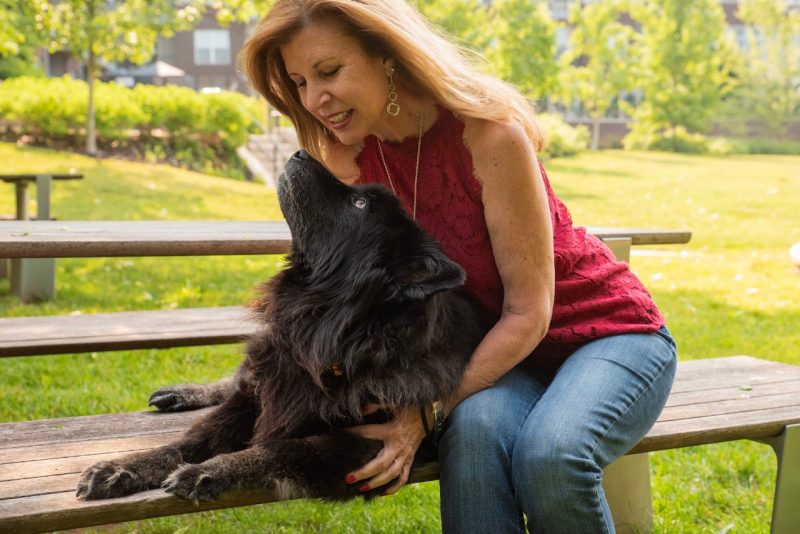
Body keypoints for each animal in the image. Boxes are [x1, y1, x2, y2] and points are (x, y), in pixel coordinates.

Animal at [76, 152, 488, 506]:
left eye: (360, 204)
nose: (302, 152)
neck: (324, 333)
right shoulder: (260, 395)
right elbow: (188, 442)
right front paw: (124, 467)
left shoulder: (360, 448)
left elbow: (273, 449)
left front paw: (210, 471)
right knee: (236, 380)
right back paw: (186, 393)